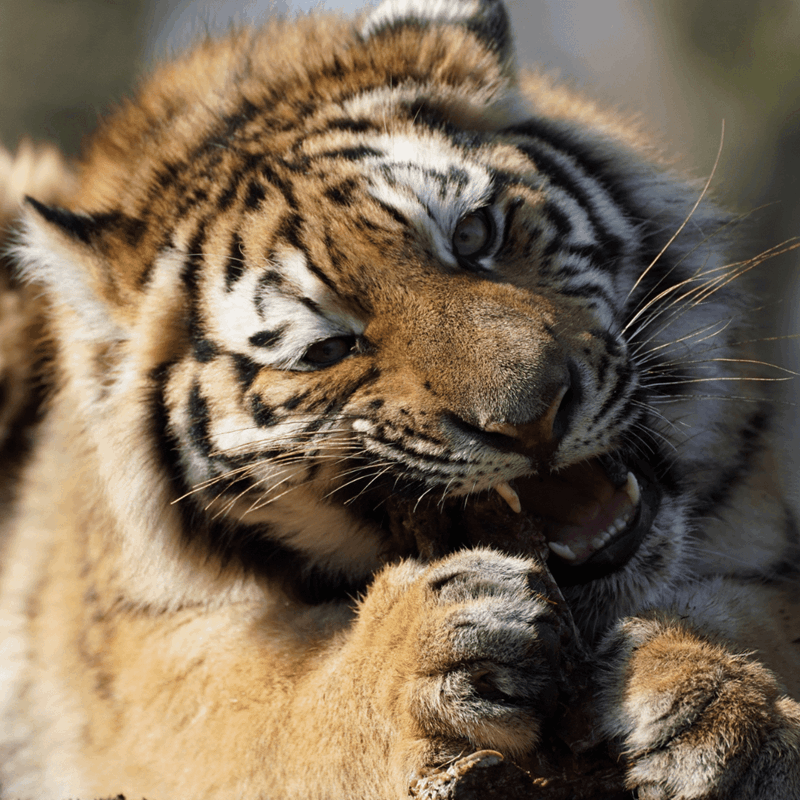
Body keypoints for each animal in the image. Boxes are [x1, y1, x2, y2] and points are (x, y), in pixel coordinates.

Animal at [1, 0, 799, 797]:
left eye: (474, 233)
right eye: (327, 349)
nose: (534, 420)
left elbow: (768, 608)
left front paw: (709, 706)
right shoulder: (137, 661)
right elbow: (261, 716)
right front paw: (426, 651)